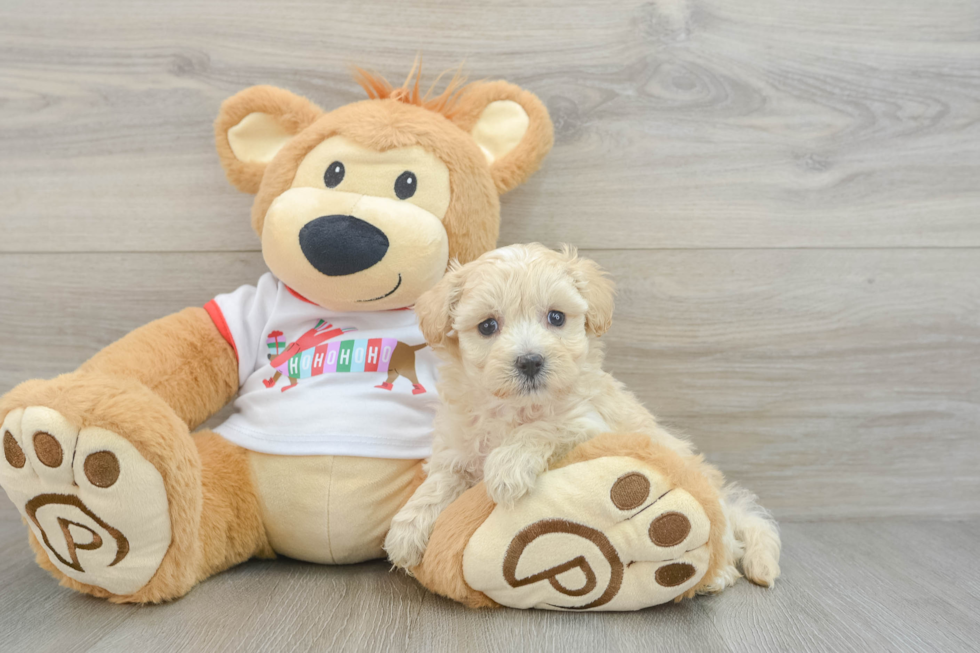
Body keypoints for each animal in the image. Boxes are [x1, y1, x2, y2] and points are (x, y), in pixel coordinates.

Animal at [384, 242, 780, 588]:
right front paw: (407, 529)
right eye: (487, 326)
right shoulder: (458, 447)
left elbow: (546, 426)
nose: (530, 361)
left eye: (556, 317)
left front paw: (507, 468)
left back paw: (720, 574)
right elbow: (439, 482)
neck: (516, 407)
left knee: (727, 540)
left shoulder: (590, 423)